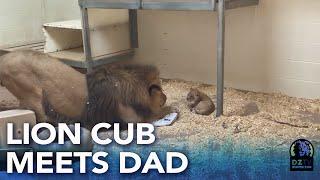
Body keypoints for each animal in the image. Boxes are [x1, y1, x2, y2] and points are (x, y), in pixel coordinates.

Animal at [0, 50, 175, 127]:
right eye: (161, 90)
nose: (166, 96)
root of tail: (4, 58)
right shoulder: (133, 118)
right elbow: (159, 112)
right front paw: (172, 108)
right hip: (32, 92)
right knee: (43, 116)